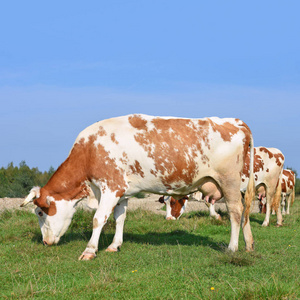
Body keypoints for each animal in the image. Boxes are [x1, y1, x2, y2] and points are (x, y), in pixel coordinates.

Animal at [20, 113, 255, 258]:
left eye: (39, 212)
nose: (45, 242)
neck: (90, 151)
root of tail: (235, 121)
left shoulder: (110, 187)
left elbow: (98, 219)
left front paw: (89, 250)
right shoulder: (122, 192)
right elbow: (119, 218)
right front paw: (114, 245)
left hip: (229, 181)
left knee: (235, 211)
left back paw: (233, 247)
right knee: (244, 210)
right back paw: (249, 244)